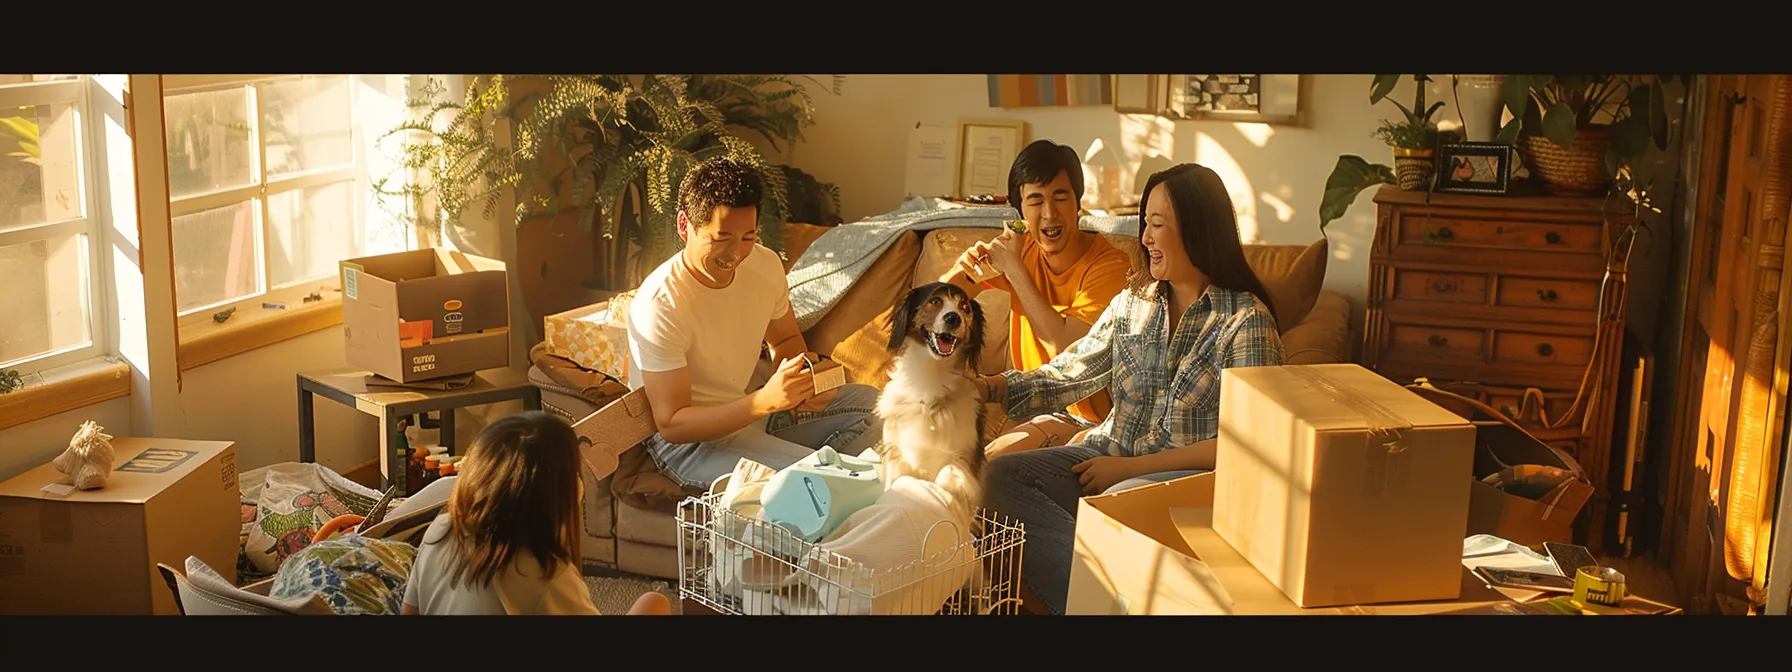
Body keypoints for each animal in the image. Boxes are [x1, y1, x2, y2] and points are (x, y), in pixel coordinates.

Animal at [874, 281, 989, 519]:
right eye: (935, 301)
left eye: (965, 308)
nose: (954, 318)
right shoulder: (896, 454)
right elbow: (895, 483)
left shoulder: (963, 460)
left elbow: (950, 473)